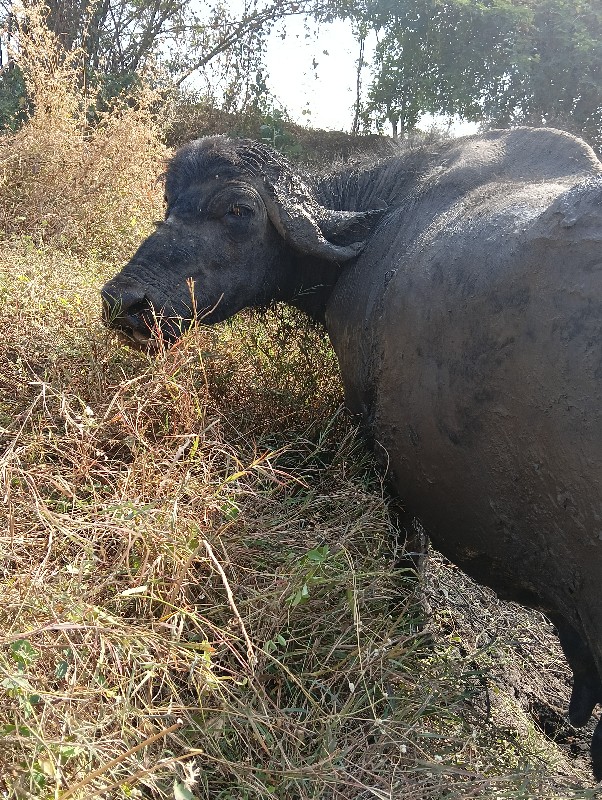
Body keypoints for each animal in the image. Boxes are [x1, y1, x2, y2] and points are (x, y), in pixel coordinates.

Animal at [103, 130, 600, 776]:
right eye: (170, 203)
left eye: (238, 209)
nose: (124, 300)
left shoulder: (380, 447)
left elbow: (407, 548)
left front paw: (410, 621)